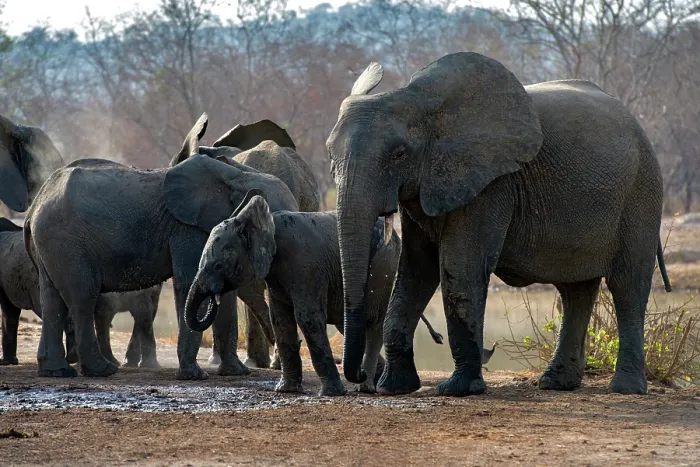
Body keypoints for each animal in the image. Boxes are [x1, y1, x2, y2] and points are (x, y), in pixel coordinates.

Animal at [23, 124, 296, 379]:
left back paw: (57, 371)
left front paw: (236, 372)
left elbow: (225, 293)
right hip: (66, 242)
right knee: (82, 297)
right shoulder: (188, 229)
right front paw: (193, 376)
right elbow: (188, 284)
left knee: (51, 300)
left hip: (50, 244)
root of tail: (34, 206)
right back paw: (102, 370)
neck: (237, 177)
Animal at [185, 194, 444, 395]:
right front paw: (286, 390)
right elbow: (281, 321)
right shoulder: (276, 274)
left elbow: (308, 318)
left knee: (373, 323)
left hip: (384, 266)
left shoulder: (304, 268)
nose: (215, 294)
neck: (267, 223)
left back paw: (366, 387)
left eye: (218, 266)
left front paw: (332, 393)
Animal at [326, 52, 672, 397]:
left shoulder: (491, 183)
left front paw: (458, 390)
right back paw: (555, 383)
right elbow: (415, 269)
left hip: (641, 193)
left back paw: (625, 388)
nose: (360, 377)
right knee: (576, 291)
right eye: (330, 153)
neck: (424, 101)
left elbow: (461, 266)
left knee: (627, 285)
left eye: (399, 153)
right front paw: (394, 388)